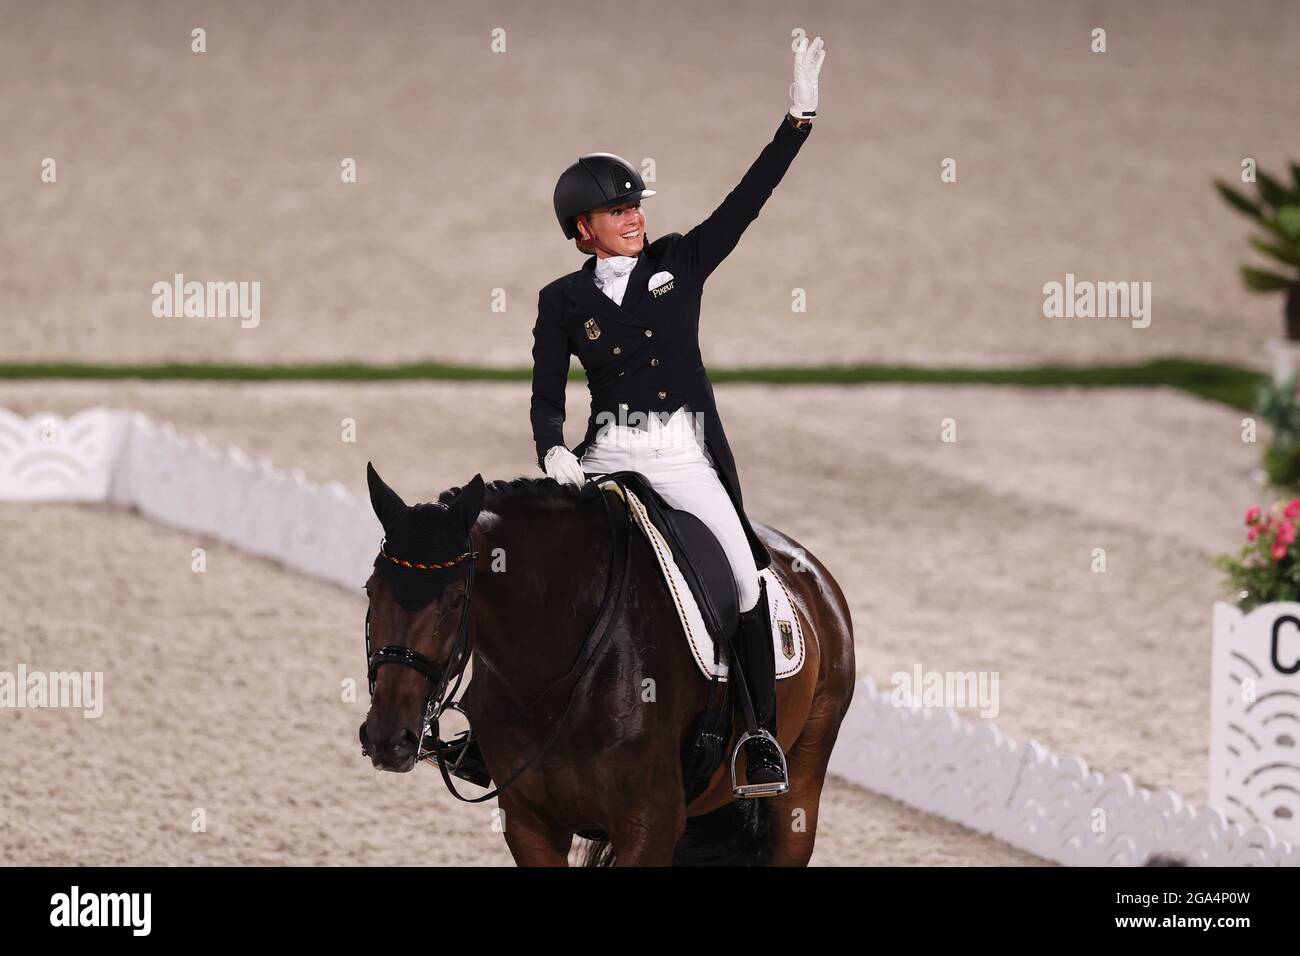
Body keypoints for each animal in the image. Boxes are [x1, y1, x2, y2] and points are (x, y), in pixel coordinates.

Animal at [361, 463, 857, 868]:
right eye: (371, 589)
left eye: (455, 599)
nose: (387, 738)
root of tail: (812, 574)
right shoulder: (529, 825)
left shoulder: (648, 826)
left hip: (799, 792)